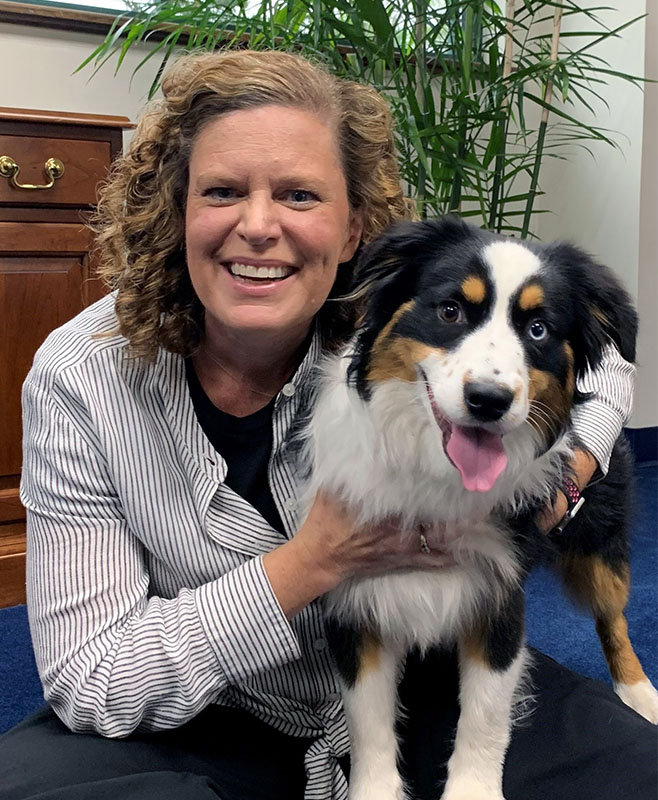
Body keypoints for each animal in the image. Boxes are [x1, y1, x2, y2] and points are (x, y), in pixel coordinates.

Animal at [302, 216, 656, 796]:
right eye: (450, 311)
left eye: (538, 330)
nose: (488, 400)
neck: (437, 475)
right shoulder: (356, 600)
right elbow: (368, 724)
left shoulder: (499, 598)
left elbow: (485, 715)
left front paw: (472, 788)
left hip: (599, 543)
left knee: (614, 615)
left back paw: (640, 694)